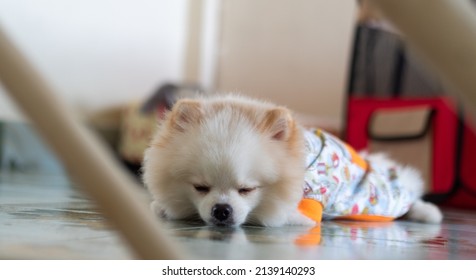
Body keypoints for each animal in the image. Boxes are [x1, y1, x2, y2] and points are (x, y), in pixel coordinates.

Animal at [142, 94, 442, 228]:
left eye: (247, 189)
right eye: (200, 187)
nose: (222, 210)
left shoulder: (306, 207)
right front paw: (161, 207)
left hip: (379, 197)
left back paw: (428, 212)